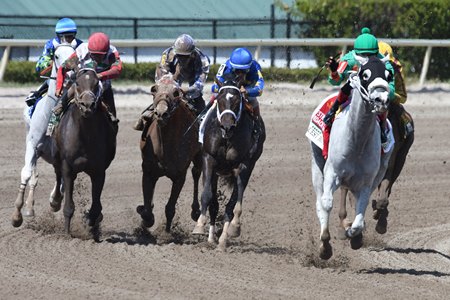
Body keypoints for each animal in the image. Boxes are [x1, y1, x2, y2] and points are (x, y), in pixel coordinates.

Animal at [50, 68, 117, 234]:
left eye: (96, 83)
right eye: (77, 83)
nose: (88, 105)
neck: (85, 135)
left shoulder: (99, 170)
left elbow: (96, 207)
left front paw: (91, 221)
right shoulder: (67, 167)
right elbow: (68, 206)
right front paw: (66, 233)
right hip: (56, 157)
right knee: (57, 174)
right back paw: (55, 201)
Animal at [136, 74, 201, 232]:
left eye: (176, 92)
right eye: (154, 89)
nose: (161, 113)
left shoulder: (180, 176)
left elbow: (170, 208)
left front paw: (167, 232)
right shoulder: (148, 171)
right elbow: (147, 210)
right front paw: (145, 216)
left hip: (199, 155)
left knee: (197, 172)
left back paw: (196, 211)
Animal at [192, 81, 264, 250]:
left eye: (237, 100)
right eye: (220, 99)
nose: (227, 125)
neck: (227, 137)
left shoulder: (243, 166)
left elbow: (234, 204)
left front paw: (234, 228)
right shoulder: (209, 159)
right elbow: (207, 196)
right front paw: (199, 225)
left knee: (231, 204)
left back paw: (222, 239)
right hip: (216, 172)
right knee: (214, 204)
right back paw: (211, 238)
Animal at [310, 54, 394, 260]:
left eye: (389, 75)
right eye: (365, 75)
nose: (381, 99)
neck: (357, 140)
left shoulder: (365, 182)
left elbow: (359, 216)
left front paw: (353, 234)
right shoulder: (332, 173)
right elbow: (326, 203)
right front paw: (325, 245)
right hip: (317, 165)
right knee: (320, 201)